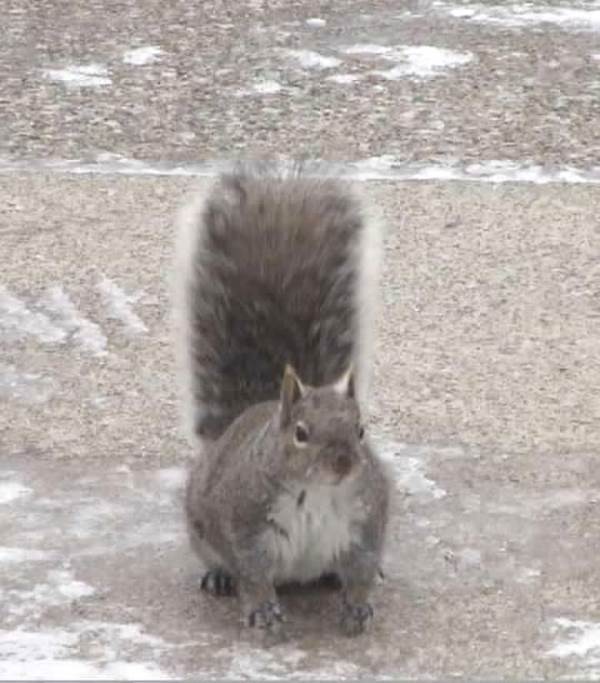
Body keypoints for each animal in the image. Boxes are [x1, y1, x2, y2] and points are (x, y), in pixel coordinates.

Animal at [174, 162, 391, 640]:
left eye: (361, 429)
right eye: (301, 433)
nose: (344, 464)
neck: (319, 492)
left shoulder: (366, 523)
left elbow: (362, 569)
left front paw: (358, 605)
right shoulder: (246, 526)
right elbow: (254, 575)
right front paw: (262, 610)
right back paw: (219, 576)